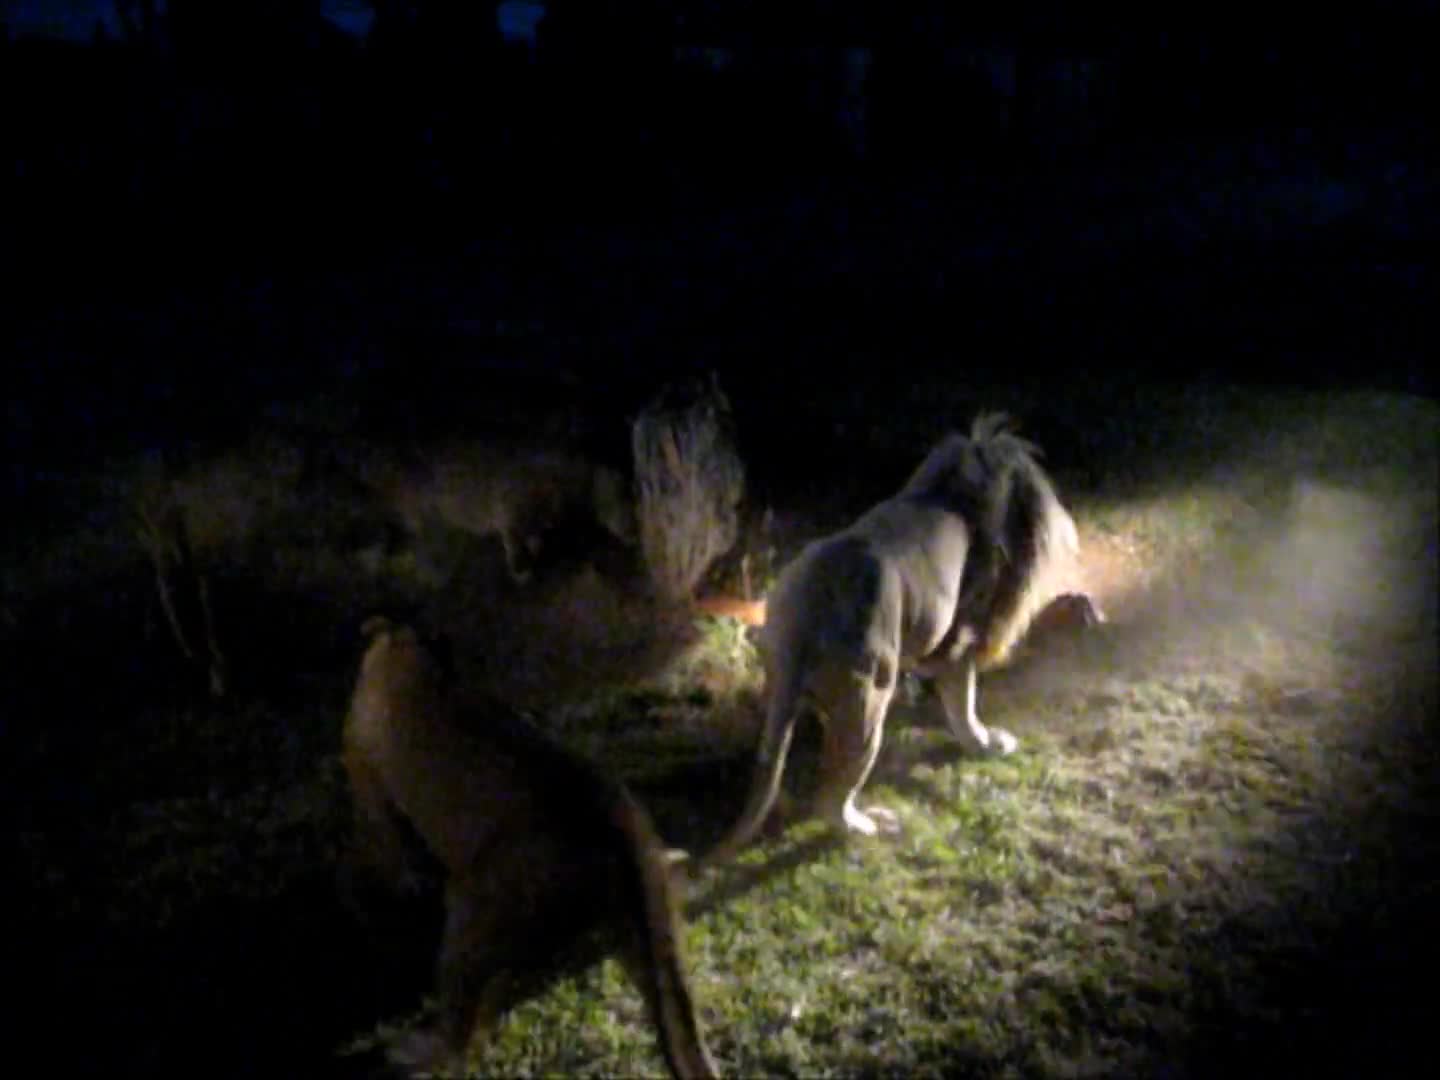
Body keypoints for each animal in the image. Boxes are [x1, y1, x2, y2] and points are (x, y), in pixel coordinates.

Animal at [340, 615, 719, 1079]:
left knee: (463, 1033)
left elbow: (387, 849)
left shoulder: (366, 776)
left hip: (470, 917)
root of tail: (618, 824)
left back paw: (413, 1050)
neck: (422, 661)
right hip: (642, 922)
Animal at [688, 413, 1087, 872]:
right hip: (870, 696)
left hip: (785, 679)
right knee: (830, 796)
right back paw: (869, 825)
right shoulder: (959, 642)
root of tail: (809, 607)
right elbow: (964, 704)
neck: (955, 493)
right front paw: (984, 743)